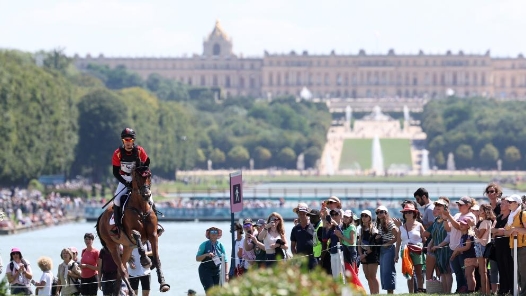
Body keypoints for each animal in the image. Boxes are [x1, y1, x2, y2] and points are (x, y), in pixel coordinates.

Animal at [95, 165, 169, 294]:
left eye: (149, 175)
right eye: (137, 177)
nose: (146, 195)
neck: (142, 208)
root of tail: (101, 217)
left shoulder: (153, 235)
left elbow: (156, 258)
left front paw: (163, 283)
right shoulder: (130, 233)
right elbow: (137, 235)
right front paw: (145, 260)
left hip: (127, 247)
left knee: (120, 271)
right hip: (112, 246)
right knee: (122, 270)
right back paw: (132, 292)